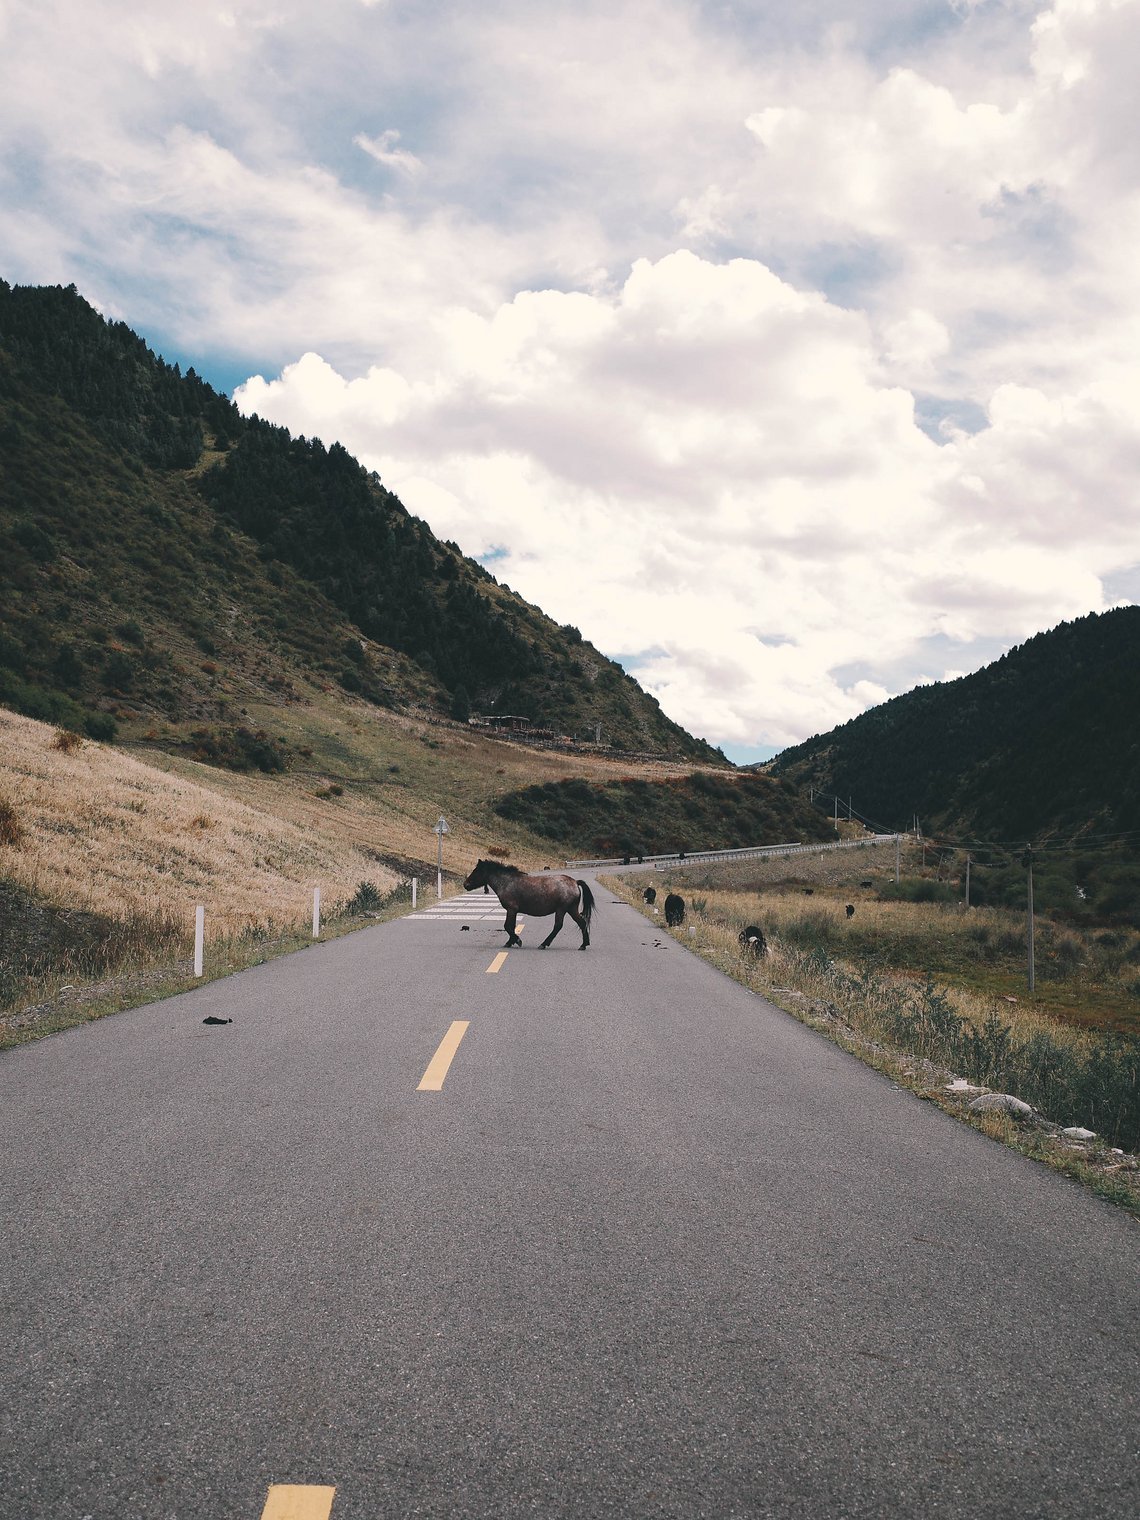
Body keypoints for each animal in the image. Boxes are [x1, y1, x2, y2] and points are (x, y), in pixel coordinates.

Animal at [465, 857, 598, 948]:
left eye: (476, 871)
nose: (465, 884)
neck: (507, 882)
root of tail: (575, 882)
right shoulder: (513, 911)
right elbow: (511, 926)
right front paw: (511, 942)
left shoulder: (511, 909)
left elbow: (507, 926)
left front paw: (516, 941)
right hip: (571, 909)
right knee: (582, 923)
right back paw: (584, 944)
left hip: (562, 910)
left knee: (558, 926)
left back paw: (544, 944)